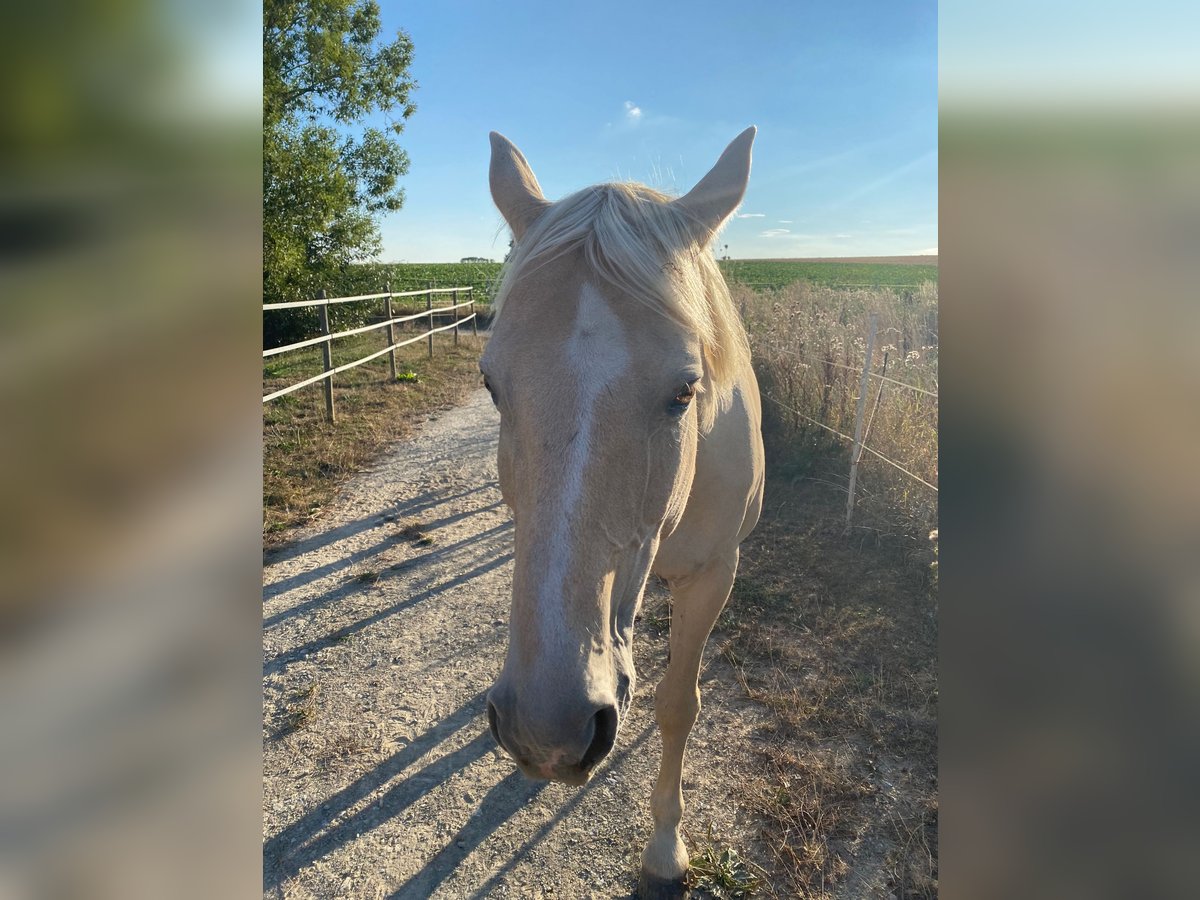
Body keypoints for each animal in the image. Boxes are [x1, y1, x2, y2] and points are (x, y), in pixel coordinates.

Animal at [482, 128, 763, 900]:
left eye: (685, 391)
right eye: (490, 385)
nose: (546, 731)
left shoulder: (713, 576)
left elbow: (678, 704)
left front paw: (666, 850)